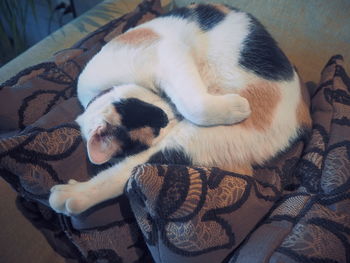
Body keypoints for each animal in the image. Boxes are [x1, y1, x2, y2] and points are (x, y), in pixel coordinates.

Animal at [47, 3, 310, 217]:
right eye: (157, 123)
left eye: (158, 115)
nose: (170, 116)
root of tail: (303, 119)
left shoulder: (170, 55)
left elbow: (193, 103)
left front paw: (237, 106)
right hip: (192, 141)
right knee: (130, 170)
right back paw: (70, 197)